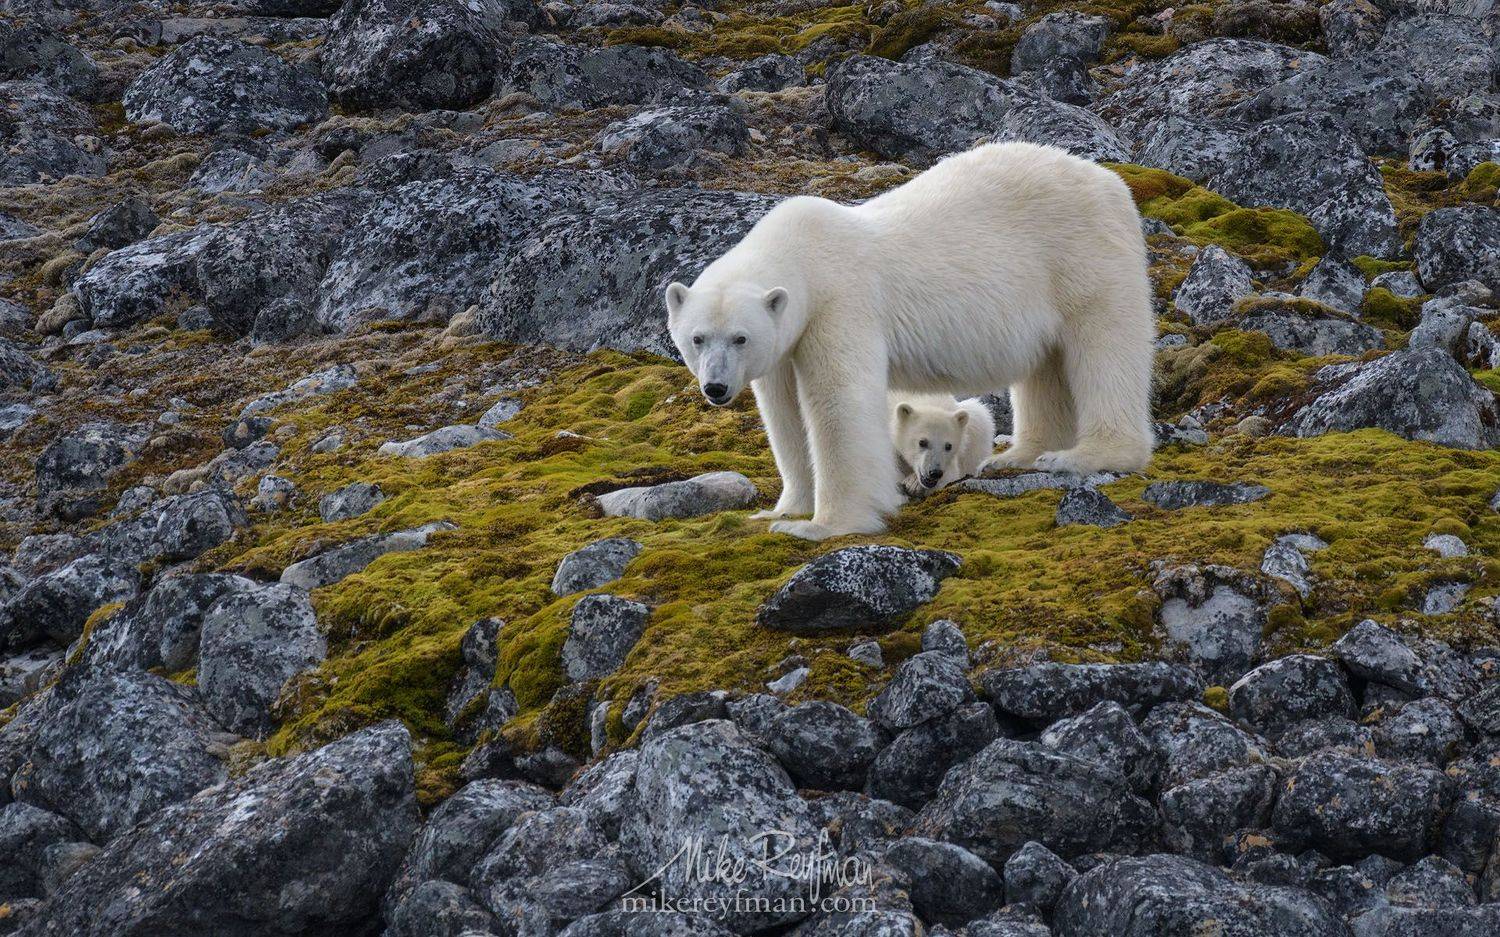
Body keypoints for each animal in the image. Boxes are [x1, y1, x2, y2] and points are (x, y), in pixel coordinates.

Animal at [665, 141, 1155, 541]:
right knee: (1045, 365)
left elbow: (839, 405)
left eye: (740, 338)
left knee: (1105, 349)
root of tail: (1110, 180)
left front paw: (822, 525)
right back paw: (1018, 454)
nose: (716, 387)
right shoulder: (787, 342)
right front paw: (781, 510)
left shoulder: (842, 304)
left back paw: (1085, 455)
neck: (804, 256)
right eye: (697, 338)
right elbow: (784, 415)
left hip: (1084, 258)